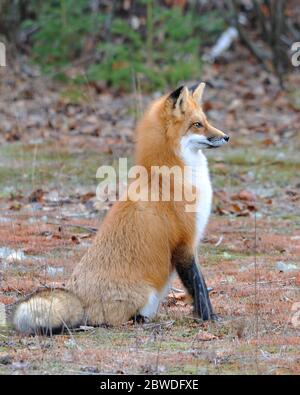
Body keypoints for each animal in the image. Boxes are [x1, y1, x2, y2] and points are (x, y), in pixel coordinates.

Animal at [10, 83, 229, 334]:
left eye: (205, 121)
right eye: (197, 124)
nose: (226, 136)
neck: (167, 178)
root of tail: (80, 301)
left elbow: (199, 284)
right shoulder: (184, 243)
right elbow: (198, 287)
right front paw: (209, 318)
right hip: (144, 294)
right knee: (106, 321)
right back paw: (138, 320)